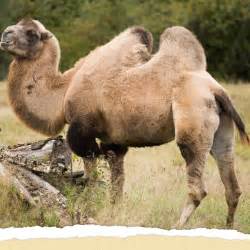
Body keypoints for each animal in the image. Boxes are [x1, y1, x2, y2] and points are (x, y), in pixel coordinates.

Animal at [0, 18, 249, 228]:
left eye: (32, 33)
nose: (5, 34)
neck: (63, 91)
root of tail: (216, 90)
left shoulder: (82, 132)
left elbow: (91, 177)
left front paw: (90, 209)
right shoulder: (113, 142)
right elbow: (116, 185)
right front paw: (114, 213)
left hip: (192, 120)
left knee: (197, 184)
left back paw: (177, 226)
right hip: (222, 130)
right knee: (231, 184)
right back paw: (228, 227)